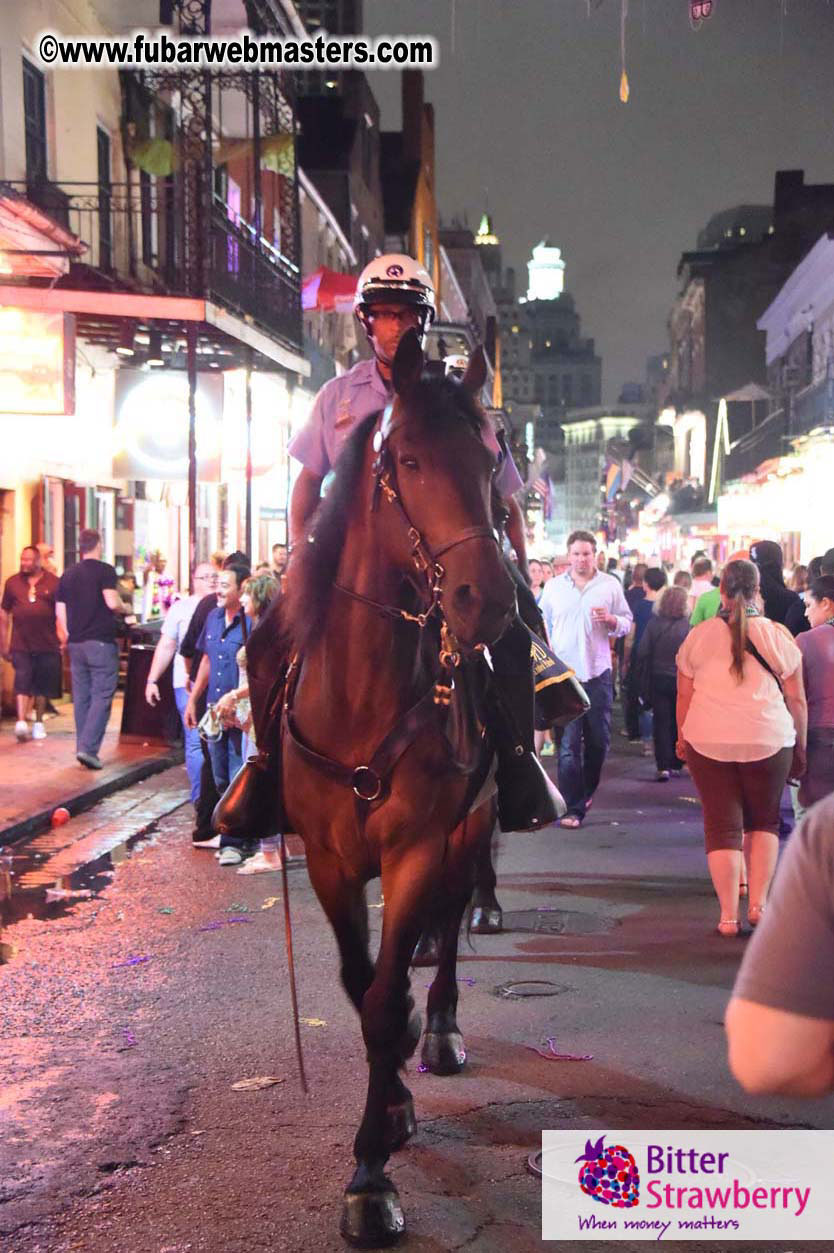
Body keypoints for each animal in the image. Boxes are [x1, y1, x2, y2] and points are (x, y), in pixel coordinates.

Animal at [278, 333, 513, 1242]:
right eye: (407, 458)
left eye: (491, 459)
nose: (488, 602)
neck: (361, 692)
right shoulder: (327, 861)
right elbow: (361, 986)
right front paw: (387, 1120)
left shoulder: (417, 846)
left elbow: (385, 999)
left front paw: (371, 1175)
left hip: (471, 825)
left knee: (452, 920)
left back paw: (439, 1026)